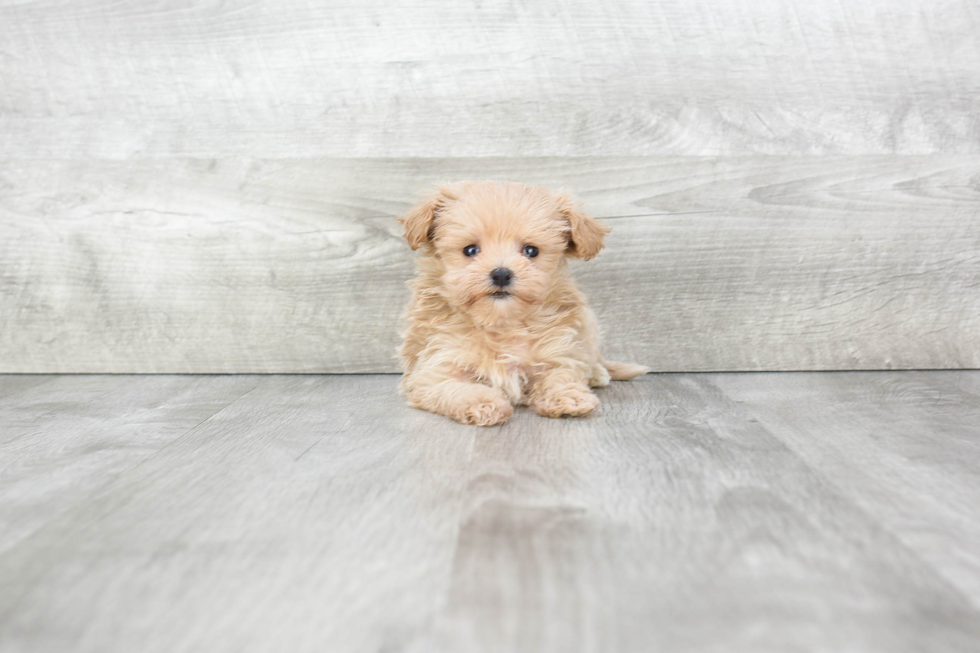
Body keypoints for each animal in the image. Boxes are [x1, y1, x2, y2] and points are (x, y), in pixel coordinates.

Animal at [394, 181, 648, 426]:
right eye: (470, 250)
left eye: (531, 251)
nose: (501, 274)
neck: (502, 323)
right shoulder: (435, 368)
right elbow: (457, 389)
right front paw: (483, 403)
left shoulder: (557, 350)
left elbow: (560, 374)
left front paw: (568, 396)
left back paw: (597, 373)